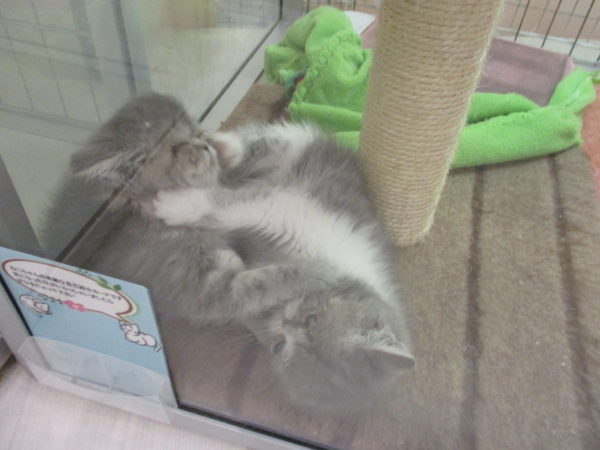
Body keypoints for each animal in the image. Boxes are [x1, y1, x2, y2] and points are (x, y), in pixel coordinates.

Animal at [152, 121, 415, 411]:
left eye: (280, 347)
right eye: (312, 318)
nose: (286, 321)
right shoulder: (287, 208)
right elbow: (234, 205)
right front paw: (177, 205)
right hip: (297, 148)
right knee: (271, 138)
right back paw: (225, 146)